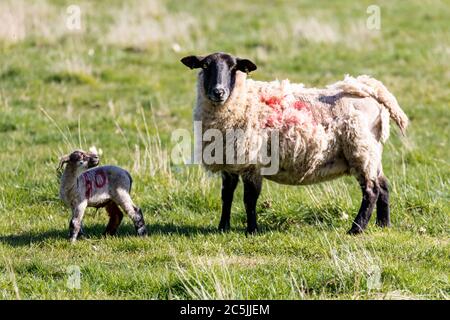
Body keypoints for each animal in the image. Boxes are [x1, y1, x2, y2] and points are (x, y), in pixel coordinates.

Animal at [179, 52, 408, 235]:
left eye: (234, 68)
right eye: (205, 66)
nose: (218, 92)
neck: (242, 100)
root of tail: (371, 92)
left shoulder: (253, 163)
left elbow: (249, 199)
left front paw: (252, 230)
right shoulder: (229, 162)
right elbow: (226, 196)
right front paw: (223, 227)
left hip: (361, 149)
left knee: (371, 190)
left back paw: (356, 229)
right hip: (372, 151)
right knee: (383, 185)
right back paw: (383, 225)